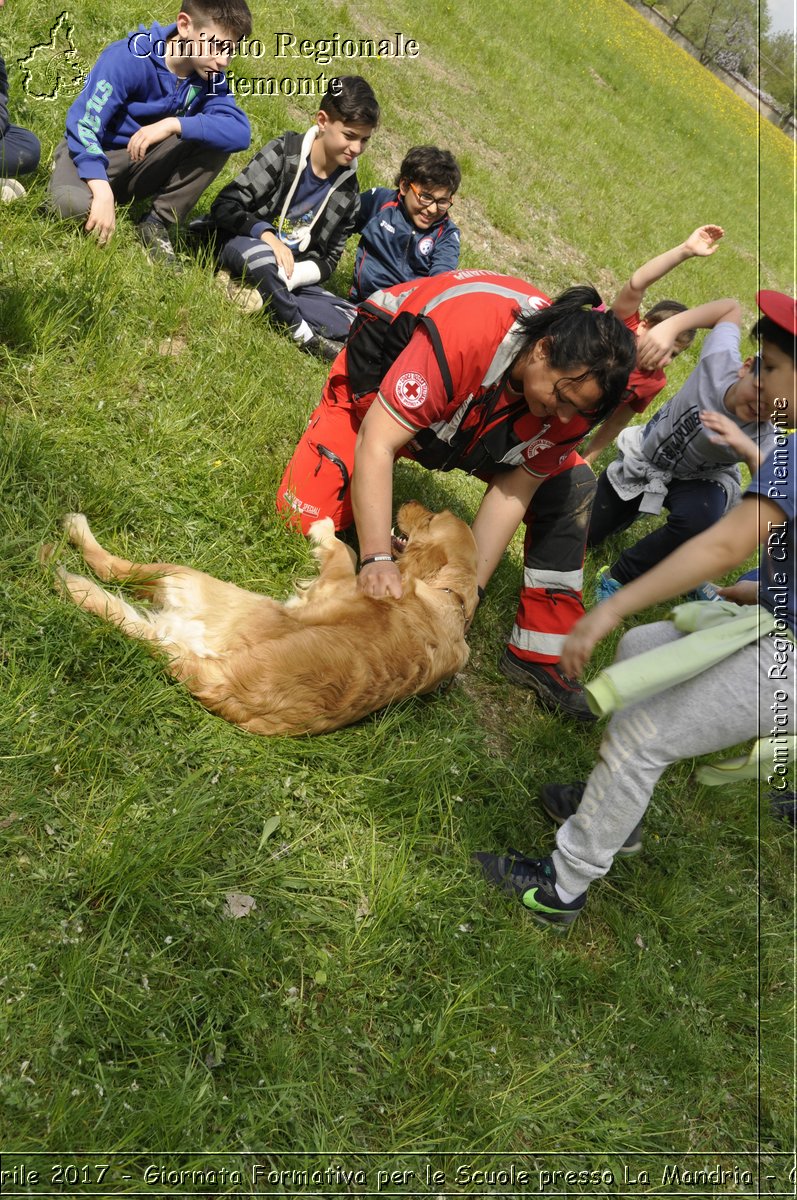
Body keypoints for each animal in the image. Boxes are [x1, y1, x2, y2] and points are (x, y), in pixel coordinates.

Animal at [56, 501, 480, 734]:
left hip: (193, 582)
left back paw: (74, 542)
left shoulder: (337, 582)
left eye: (429, 520)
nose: (408, 503)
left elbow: (344, 551)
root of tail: (220, 681)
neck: (452, 598)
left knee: (113, 571)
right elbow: (347, 550)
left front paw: (323, 527)